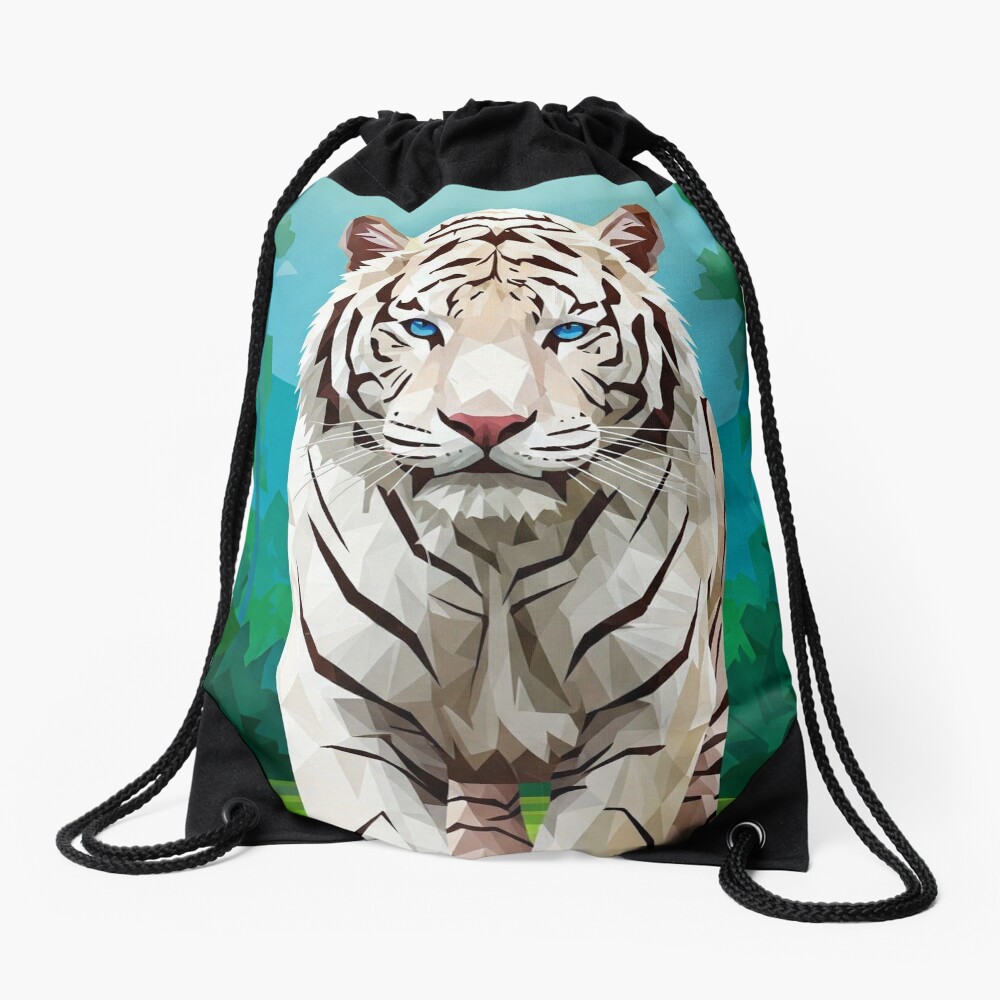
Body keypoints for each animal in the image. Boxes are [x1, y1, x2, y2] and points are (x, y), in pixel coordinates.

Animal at [275, 205, 728, 859]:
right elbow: (386, 819)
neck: (496, 544)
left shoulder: (651, 707)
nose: (486, 423)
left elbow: (589, 834)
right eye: (422, 328)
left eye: (567, 333)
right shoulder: (344, 698)